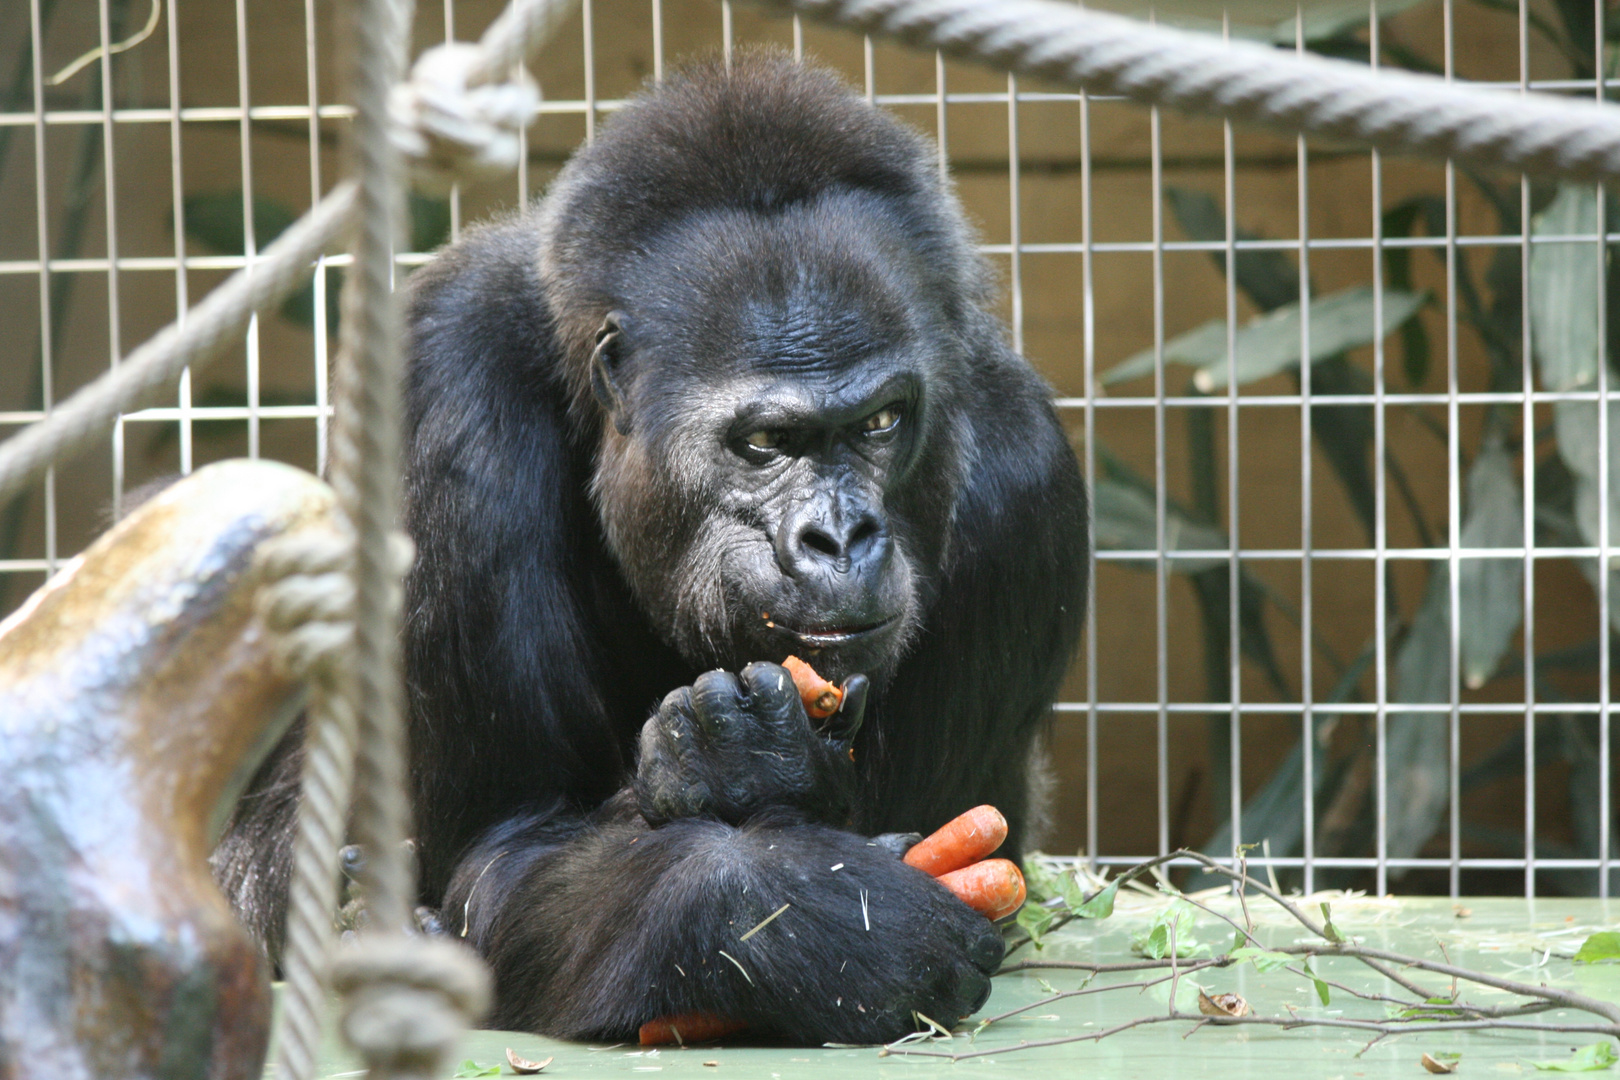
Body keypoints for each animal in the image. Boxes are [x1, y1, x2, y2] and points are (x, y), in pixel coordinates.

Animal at [212, 48, 1088, 1049]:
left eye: (880, 423)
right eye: (765, 443)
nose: (838, 536)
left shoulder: (1026, 482)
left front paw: (753, 776)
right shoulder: (444, 383)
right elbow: (506, 843)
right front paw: (794, 906)